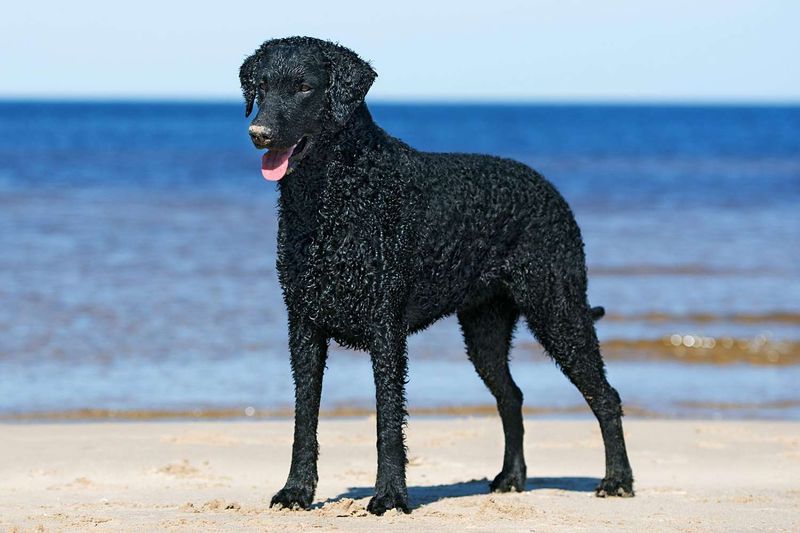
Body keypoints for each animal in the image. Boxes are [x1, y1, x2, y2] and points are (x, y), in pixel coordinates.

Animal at [238, 35, 632, 512]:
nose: (259, 134)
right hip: (485, 329)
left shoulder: (385, 328)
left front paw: (390, 495)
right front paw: (297, 489)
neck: (338, 196)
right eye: (261, 86)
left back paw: (617, 480)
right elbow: (304, 417)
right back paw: (511, 477)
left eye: (303, 87)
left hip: (558, 309)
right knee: (512, 397)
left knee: (605, 396)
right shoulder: (303, 325)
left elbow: (388, 421)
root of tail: (549, 188)